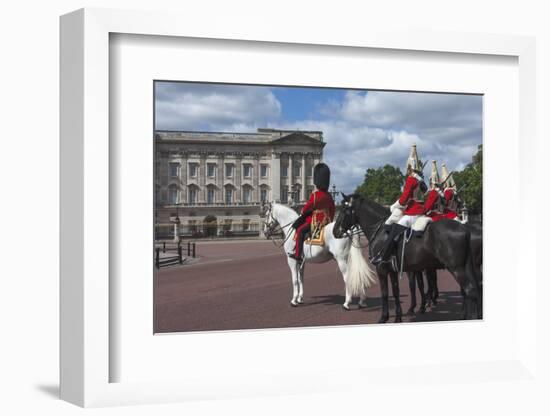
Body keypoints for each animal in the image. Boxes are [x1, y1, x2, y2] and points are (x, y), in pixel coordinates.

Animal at [332, 193, 484, 324]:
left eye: (344, 209)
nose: (335, 232)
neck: (379, 230)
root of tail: (465, 229)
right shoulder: (393, 270)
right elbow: (396, 292)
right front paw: (398, 317)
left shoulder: (382, 269)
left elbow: (385, 293)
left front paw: (384, 317)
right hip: (467, 267)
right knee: (473, 290)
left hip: (457, 268)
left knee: (470, 291)